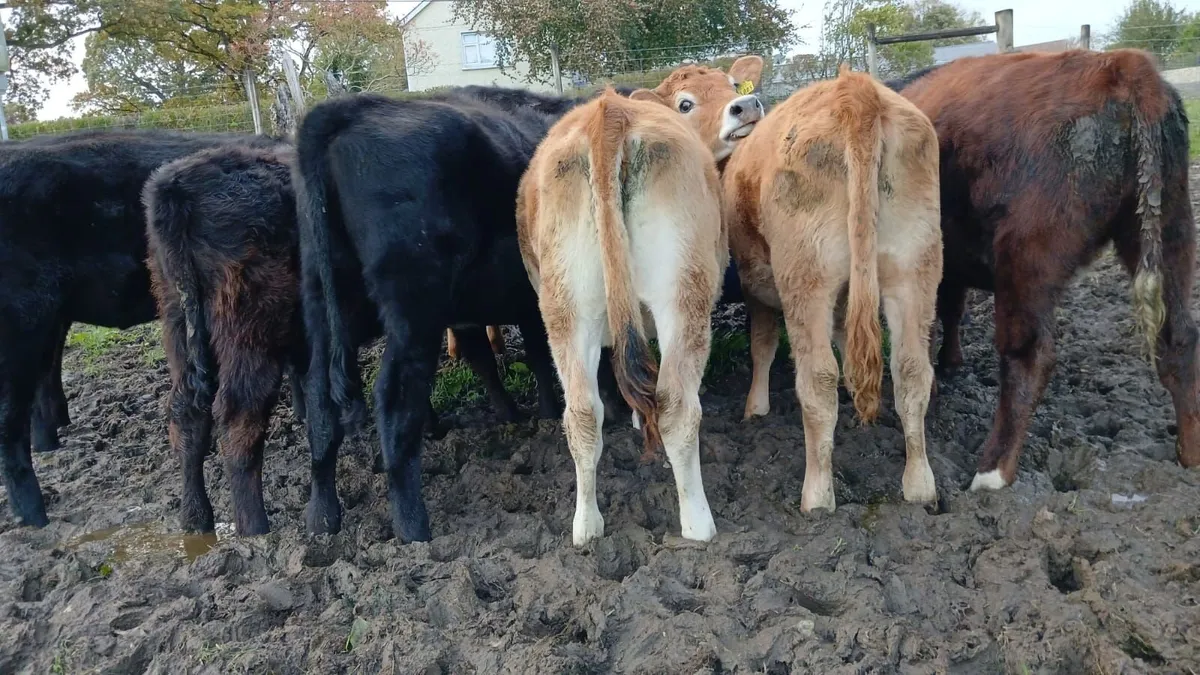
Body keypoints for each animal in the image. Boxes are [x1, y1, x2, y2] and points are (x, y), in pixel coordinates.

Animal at [294, 85, 645, 541]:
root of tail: (349, 111)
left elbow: (527, 354)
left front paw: (532, 413)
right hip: (413, 307)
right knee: (393, 399)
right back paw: (412, 527)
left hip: (324, 301)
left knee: (319, 402)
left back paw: (322, 518)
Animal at [516, 56, 766, 545]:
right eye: (686, 103)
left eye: (732, 84)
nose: (745, 107)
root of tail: (611, 113)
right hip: (684, 296)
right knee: (676, 406)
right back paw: (697, 523)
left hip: (566, 306)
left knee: (581, 413)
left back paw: (587, 526)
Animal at [721, 65, 943, 512]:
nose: (740, 109)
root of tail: (854, 90)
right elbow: (847, 338)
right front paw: (854, 386)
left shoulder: (757, 290)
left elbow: (762, 347)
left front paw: (755, 408)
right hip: (914, 268)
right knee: (911, 371)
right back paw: (919, 486)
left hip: (806, 278)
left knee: (817, 379)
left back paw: (818, 496)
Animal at [889, 49, 1197, 489]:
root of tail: (1122, 65)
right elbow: (950, 311)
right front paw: (950, 363)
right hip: (1170, 230)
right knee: (1179, 339)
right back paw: (1190, 456)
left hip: (1026, 257)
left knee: (1029, 357)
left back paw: (991, 472)